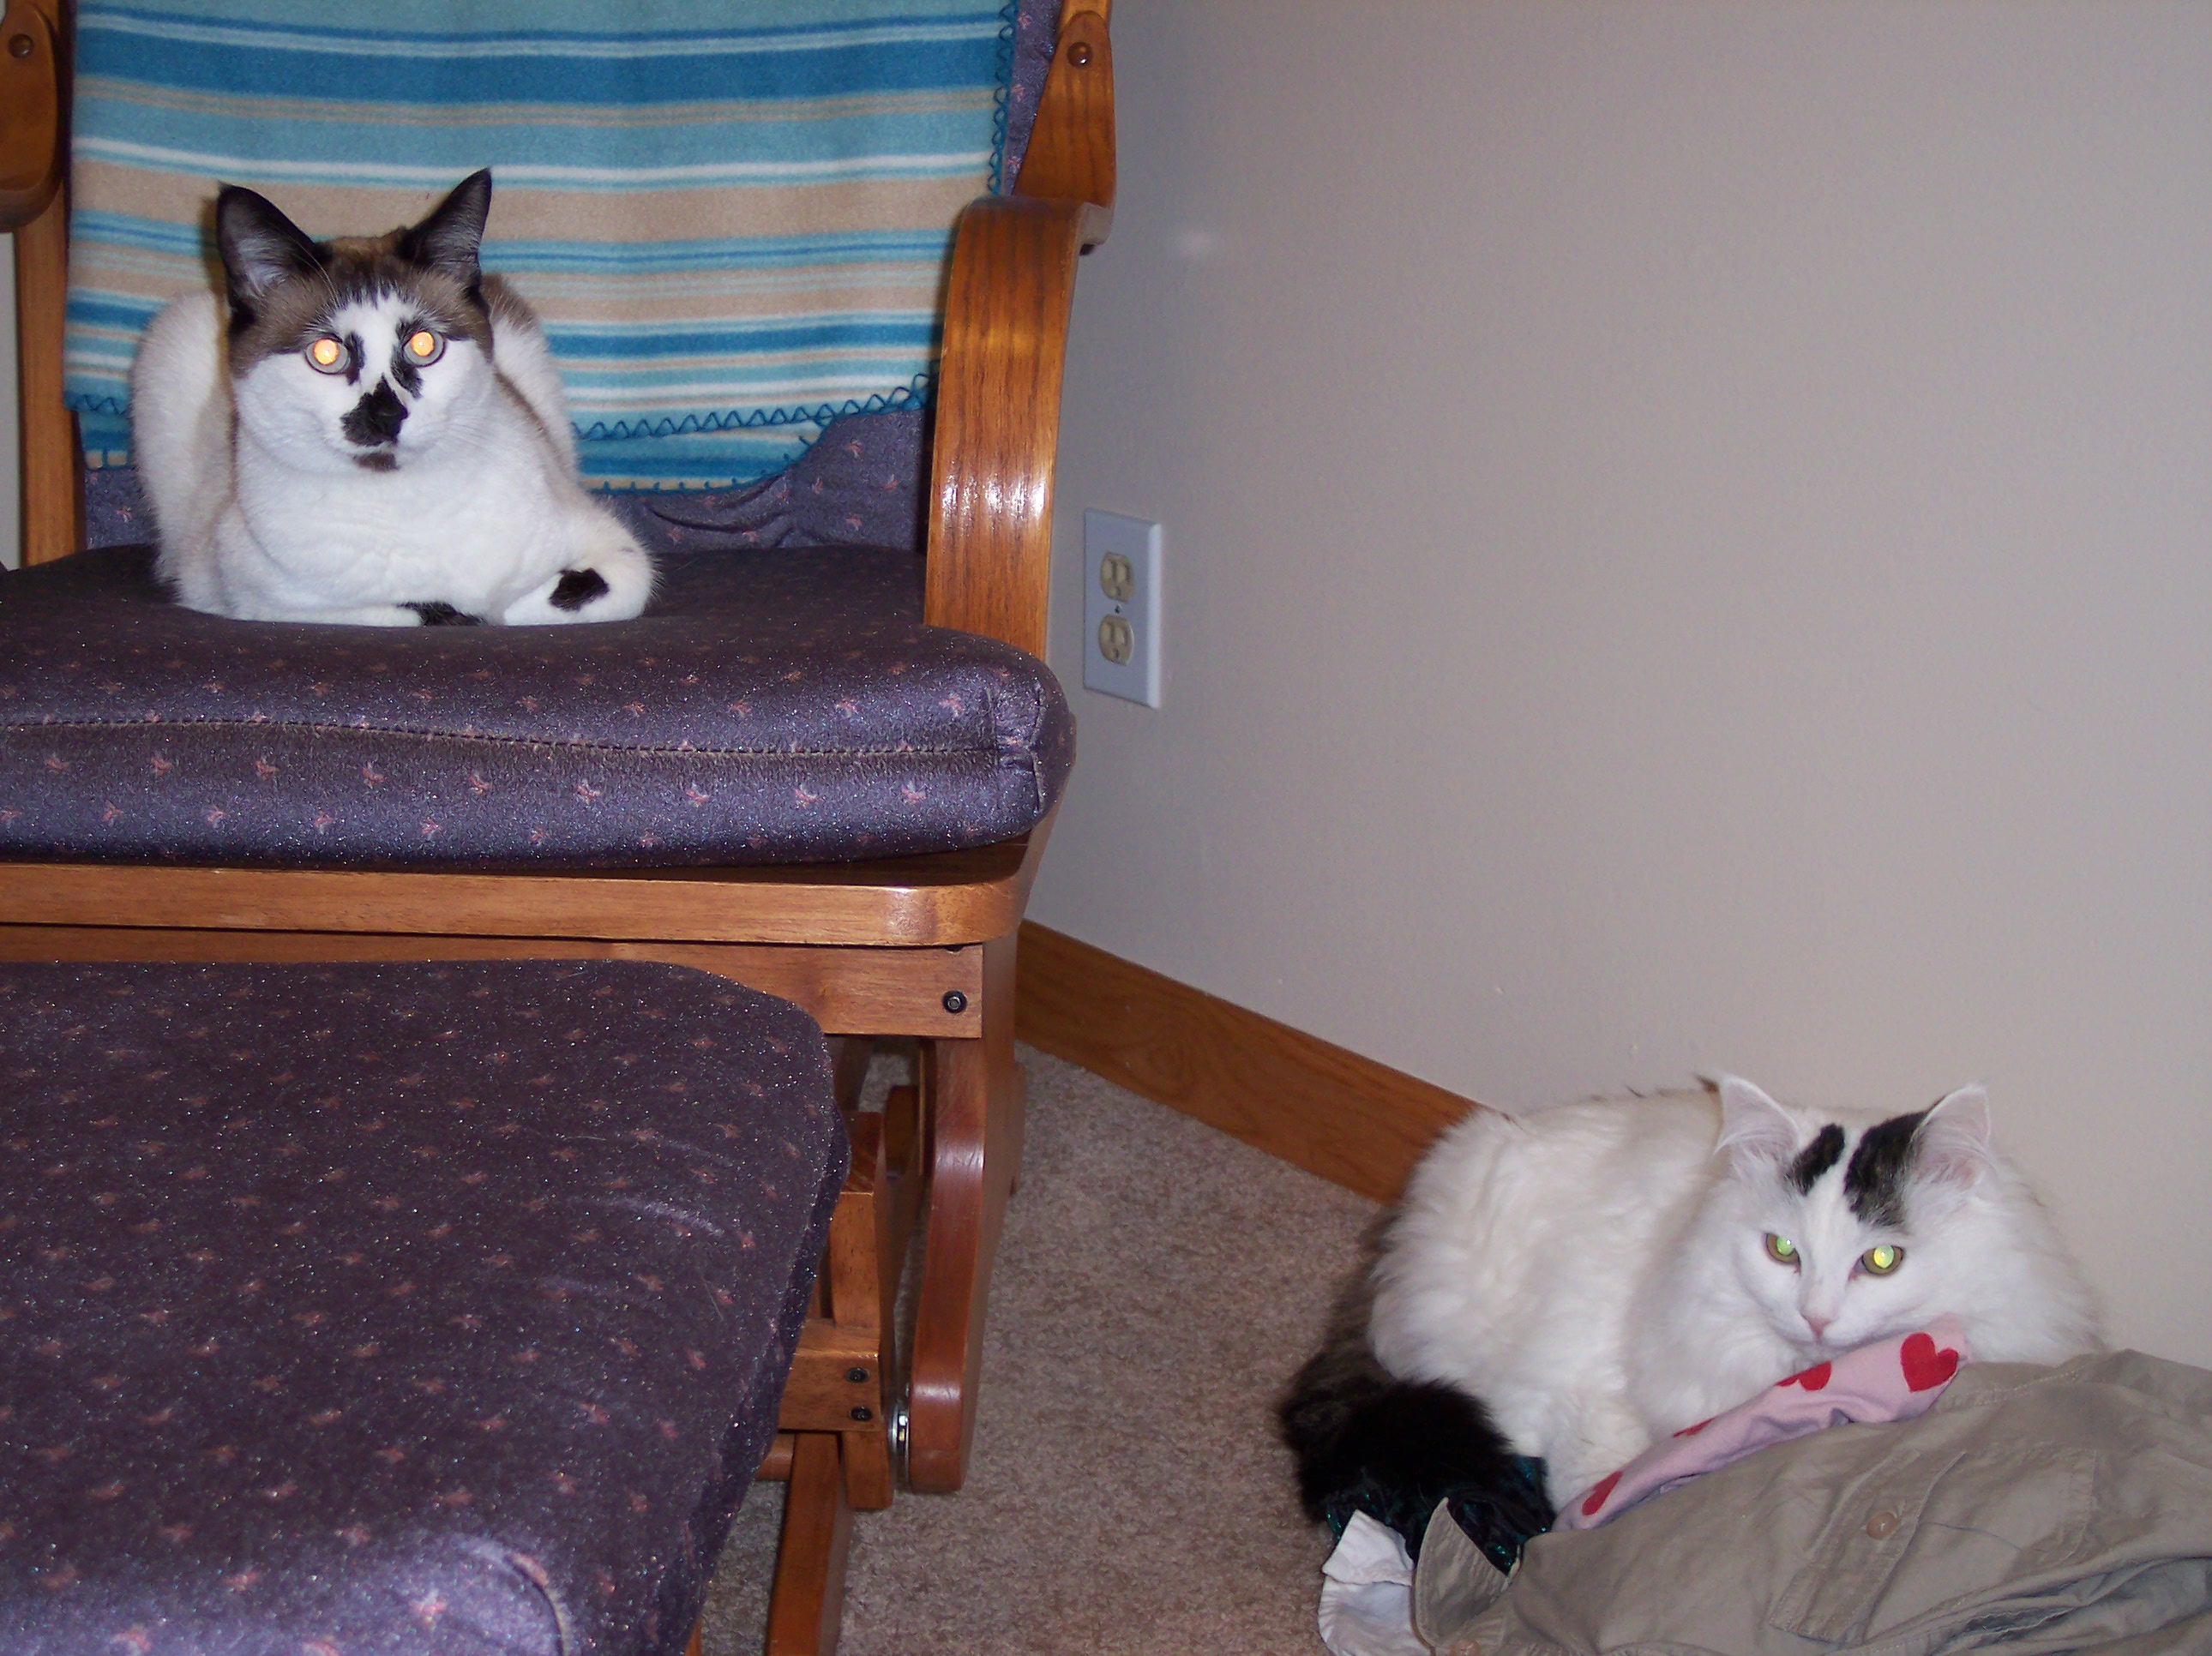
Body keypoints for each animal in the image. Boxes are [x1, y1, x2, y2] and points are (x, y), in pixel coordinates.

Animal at [129, 169, 653, 626]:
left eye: (423, 345)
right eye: (327, 353)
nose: (386, 413)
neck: (404, 505)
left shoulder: (614, 548)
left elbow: (564, 595)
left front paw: (508, 603)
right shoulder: (254, 593)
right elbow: (423, 611)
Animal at [1283, 1076, 2103, 1514]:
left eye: (1881, 1259)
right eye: (1783, 1251)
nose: (1816, 1317)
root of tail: (1391, 1248)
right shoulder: (1591, 1382)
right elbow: (1589, 1472)